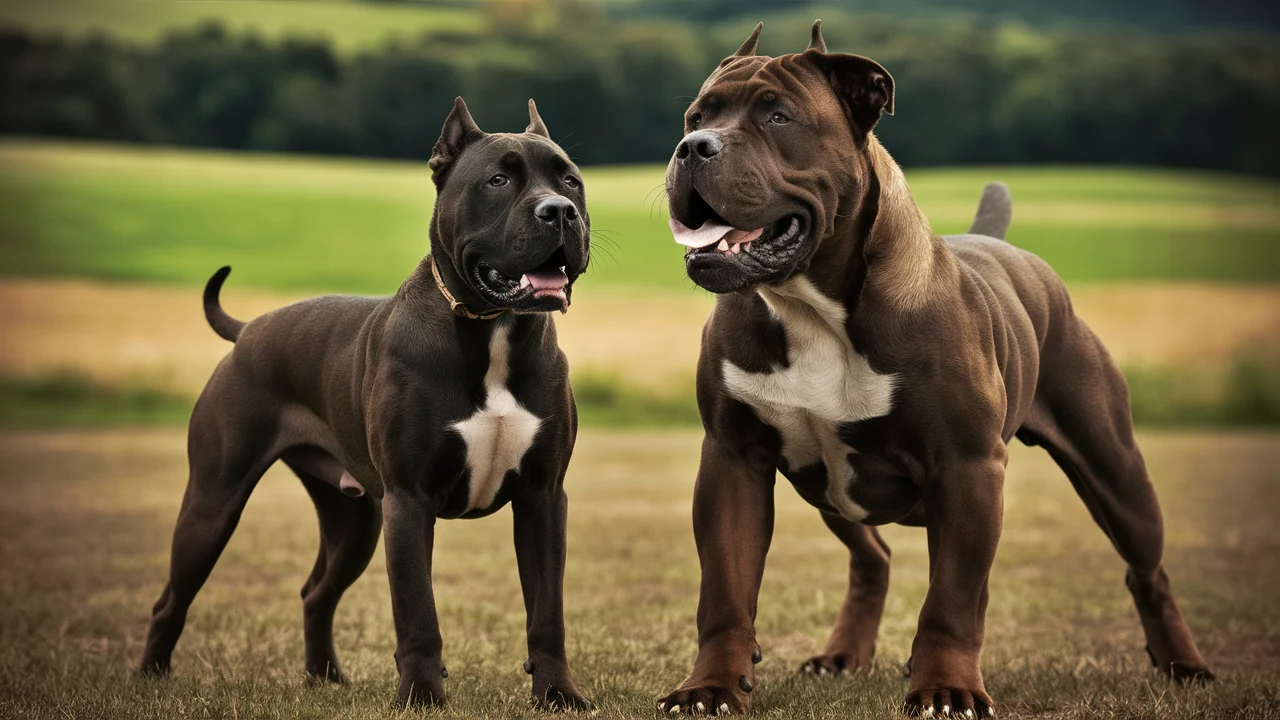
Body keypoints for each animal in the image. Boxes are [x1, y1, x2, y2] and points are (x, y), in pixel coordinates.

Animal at [137, 98, 596, 707]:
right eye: (498, 180)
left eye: (570, 180)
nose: (560, 211)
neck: (492, 328)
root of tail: (249, 329)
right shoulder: (409, 499)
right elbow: (417, 612)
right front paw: (422, 697)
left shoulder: (543, 496)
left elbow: (547, 610)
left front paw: (558, 694)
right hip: (215, 499)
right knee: (173, 596)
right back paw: (150, 675)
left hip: (352, 517)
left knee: (316, 592)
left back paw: (325, 677)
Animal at [655, 20, 1213, 712]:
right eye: (696, 117)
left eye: (777, 116)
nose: (691, 148)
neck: (813, 307)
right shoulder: (734, 460)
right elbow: (726, 591)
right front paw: (710, 686)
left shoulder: (967, 468)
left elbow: (952, 598)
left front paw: (948, 687)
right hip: (828, 490)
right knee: (874, 556)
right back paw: (843, 654)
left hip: (1114, 469)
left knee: (1146, 571)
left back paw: (1184, 665)